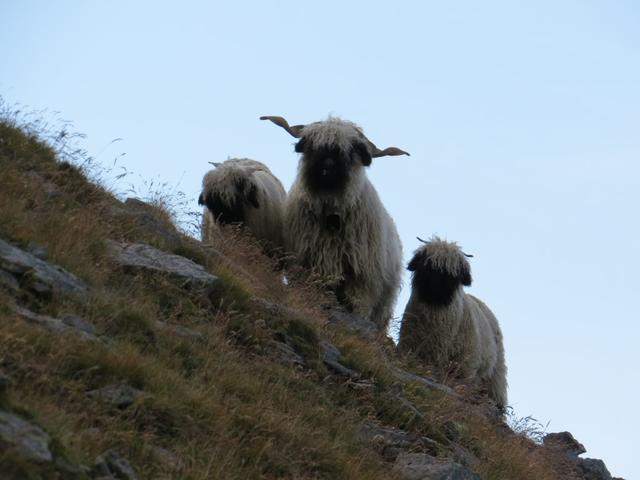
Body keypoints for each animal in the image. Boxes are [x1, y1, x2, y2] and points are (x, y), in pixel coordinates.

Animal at [262, 115, 408, 334]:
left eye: (350, 150)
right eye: (313, 145)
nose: (327, 167)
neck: (331, 210)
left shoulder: (362, 281)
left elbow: (357, 307)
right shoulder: (305, 268)